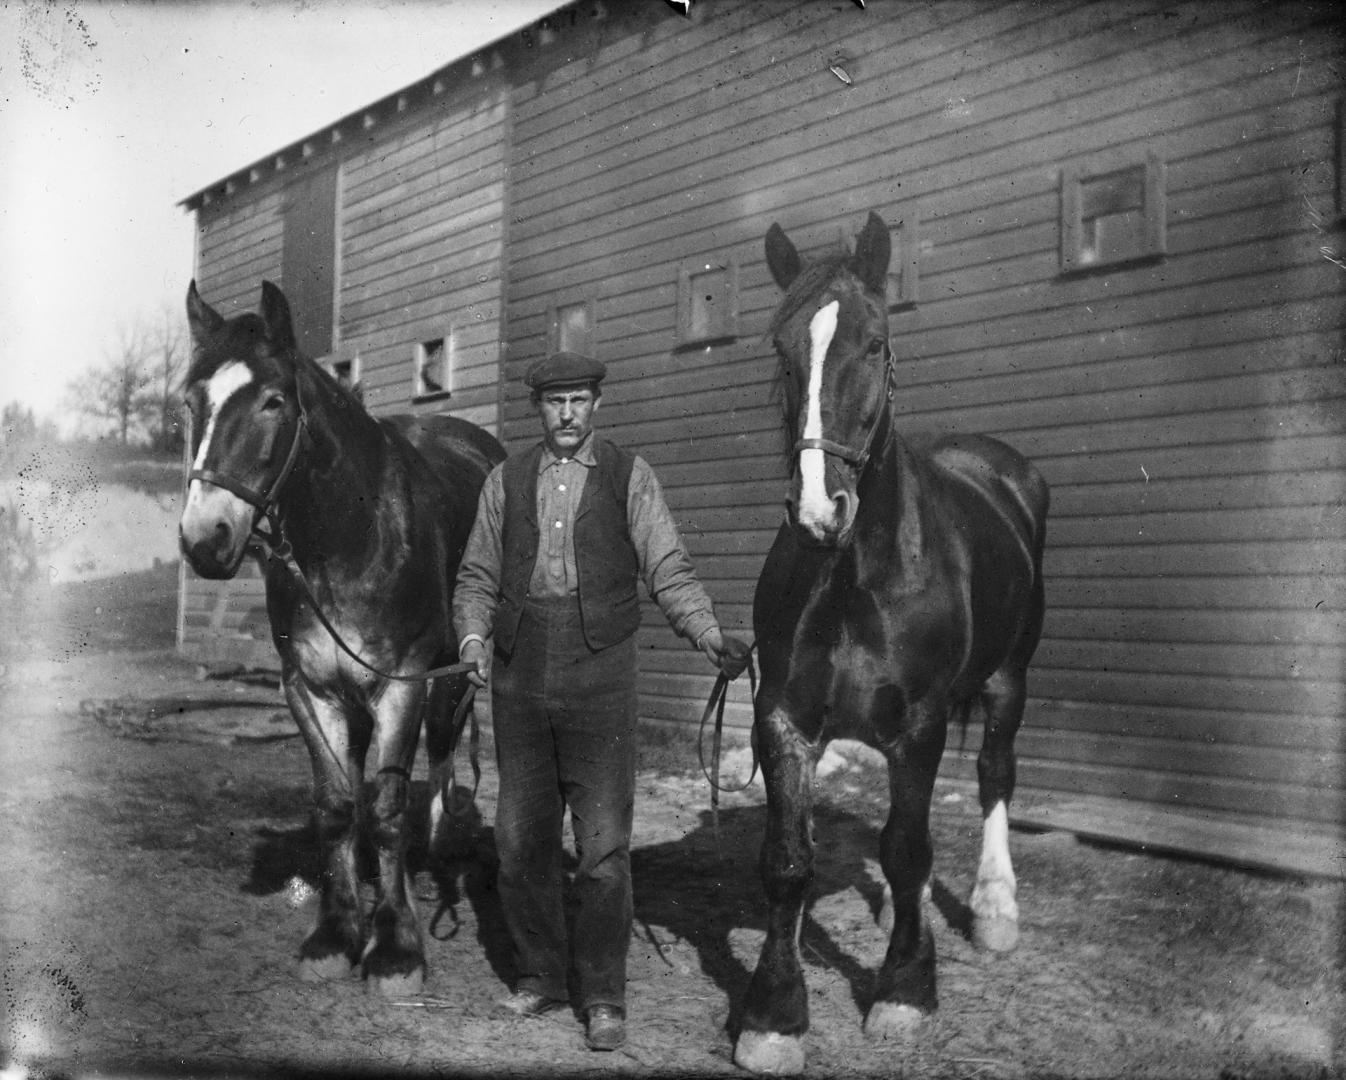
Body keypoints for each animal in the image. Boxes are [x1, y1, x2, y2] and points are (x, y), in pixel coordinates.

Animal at [181, 280, 506, 991]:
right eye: (191, 402)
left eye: (274, 402)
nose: (204, 540)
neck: (348, 537)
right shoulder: (308, 686)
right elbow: (335, 804)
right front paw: (336, 932)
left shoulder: (401, 683)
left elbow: (385, 809)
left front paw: (397, 947)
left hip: (453, 675)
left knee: (441, 755)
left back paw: (436, 852)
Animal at [737, 212, 1049, 1066]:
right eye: (780, 348)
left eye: (875, 343)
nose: (819, 510)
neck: (855, 576)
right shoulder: (784, 718)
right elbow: (788, 860)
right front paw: (774, 1012)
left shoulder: (919, 723)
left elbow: (908, 849)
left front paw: (905, 989)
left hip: (1009, 679)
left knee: (994, 775)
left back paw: (995, 910)